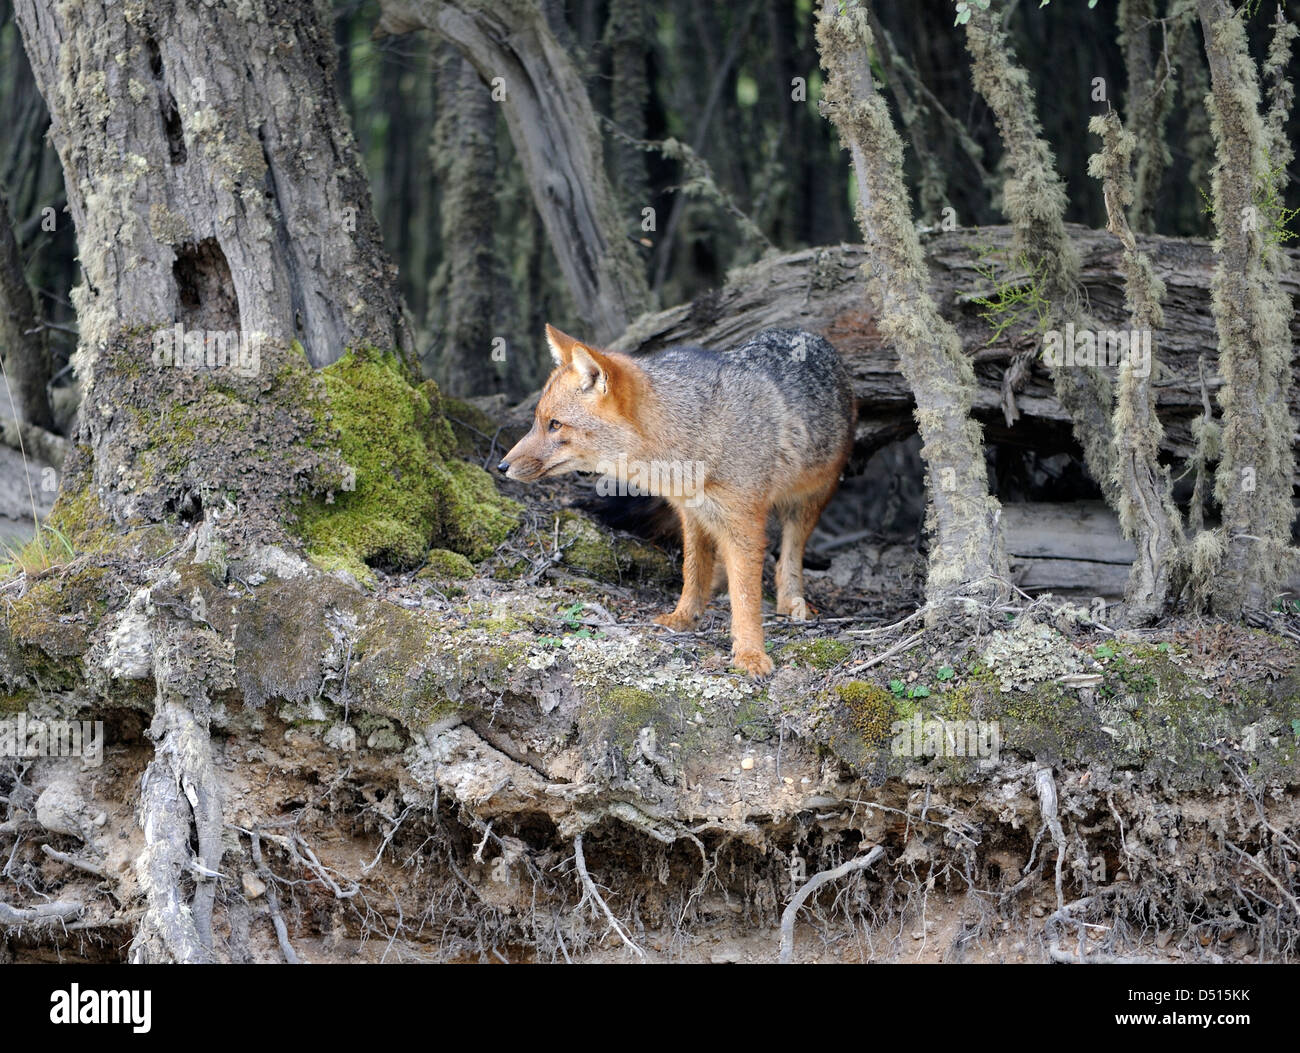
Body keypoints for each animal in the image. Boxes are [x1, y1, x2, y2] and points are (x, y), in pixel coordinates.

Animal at [499, 324, 856, 678]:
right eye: (537, 421)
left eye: (555, 425)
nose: (502, 466)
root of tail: (810, 335)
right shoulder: (691, 514)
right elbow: (693, 571)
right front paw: (684, 617)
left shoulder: (744, 521)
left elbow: (746, 595)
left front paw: (750, 652)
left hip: (808, 501)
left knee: (789, 556)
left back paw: (791, 602)